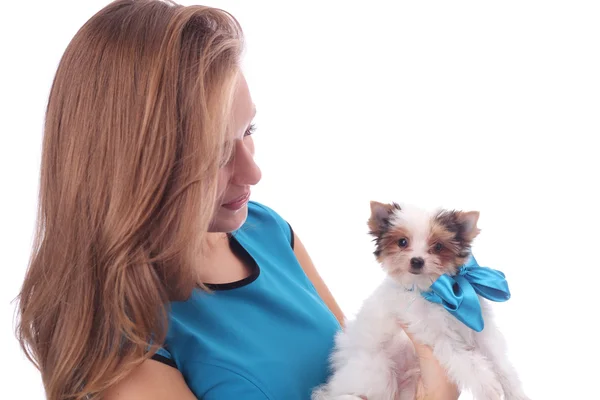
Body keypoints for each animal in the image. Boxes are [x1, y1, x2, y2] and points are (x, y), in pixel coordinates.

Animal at [314, 202, 528, 400]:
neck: (440, 293)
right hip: (376, 370)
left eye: (438, 246)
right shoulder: (435, 335)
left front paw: (514, 391)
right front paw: (487, 385)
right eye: (402, 242)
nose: (416, 260)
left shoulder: (481, 329)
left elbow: (499, 360)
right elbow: (464, 359)